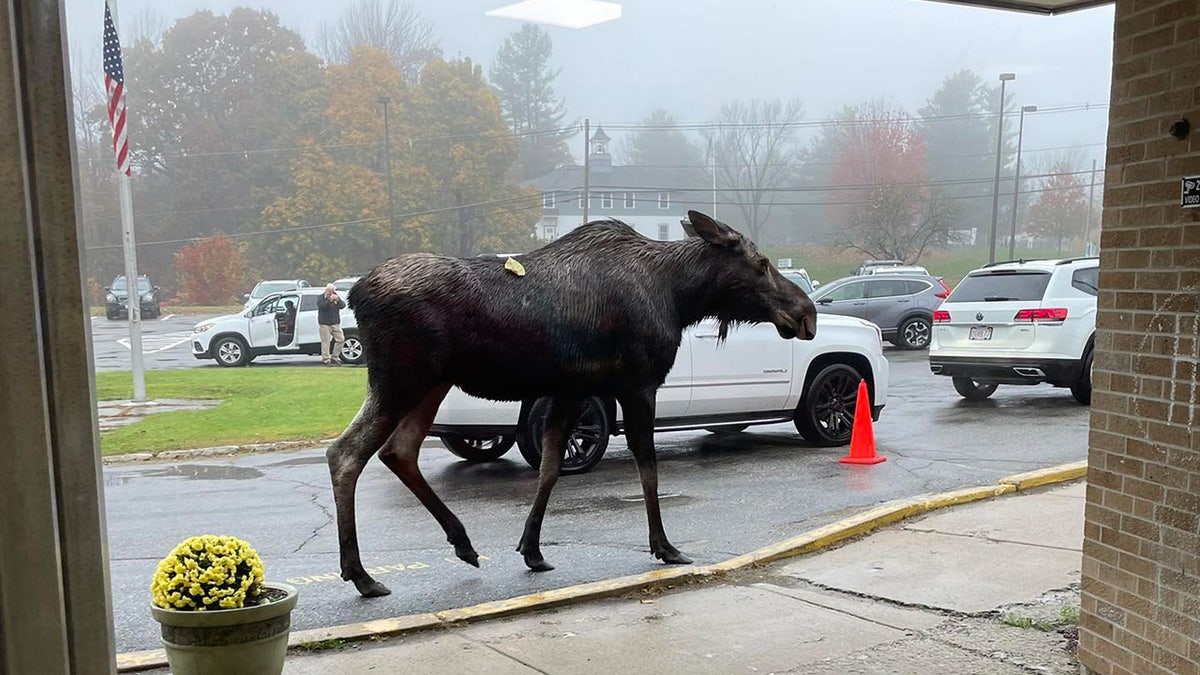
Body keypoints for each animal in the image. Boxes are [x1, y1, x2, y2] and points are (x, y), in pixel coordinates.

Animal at [328, 210, 816, 593]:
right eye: (761, 262)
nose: (807, 314)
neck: (679, 297)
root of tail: (355, 294)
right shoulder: (638, 385)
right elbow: (648, 466)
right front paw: (664, 546)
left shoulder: (571, 388)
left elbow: (549, 468)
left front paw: (532, 549)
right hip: (401, 380)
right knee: (346, 453)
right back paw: (362, 574)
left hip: (431, 384)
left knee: (399, 450)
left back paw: (462, 543)